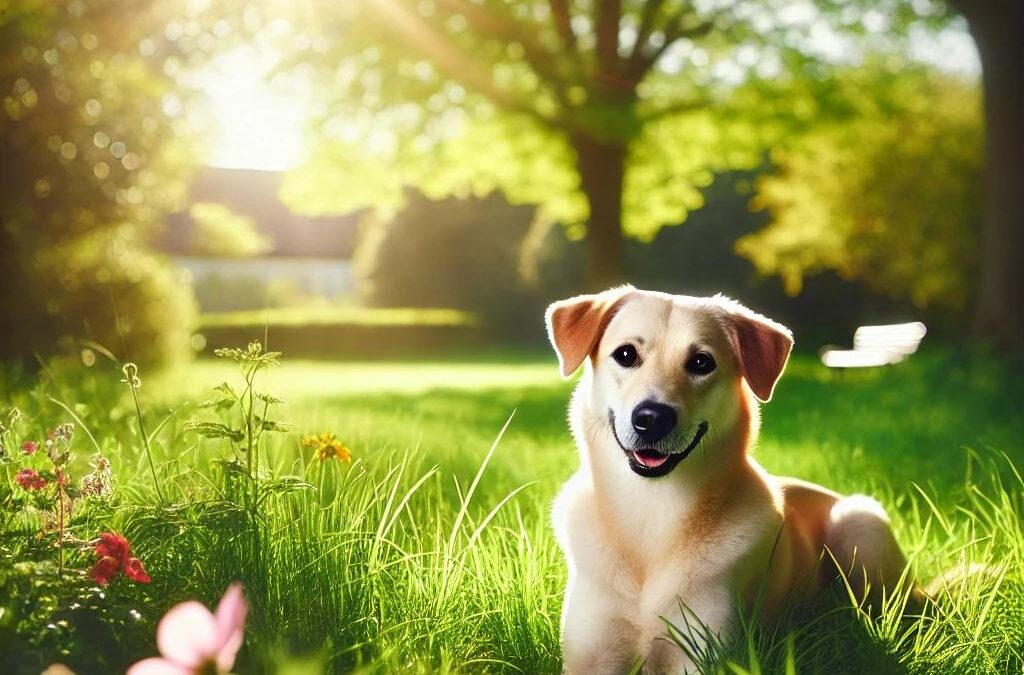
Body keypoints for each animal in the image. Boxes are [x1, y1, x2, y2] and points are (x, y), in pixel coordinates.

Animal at [544, 288, 913, 671]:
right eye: (626, 354)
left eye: (701, 363)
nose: (653, 418)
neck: (653, 509)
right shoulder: (591, 656)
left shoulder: (699, 653)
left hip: (860, 524)